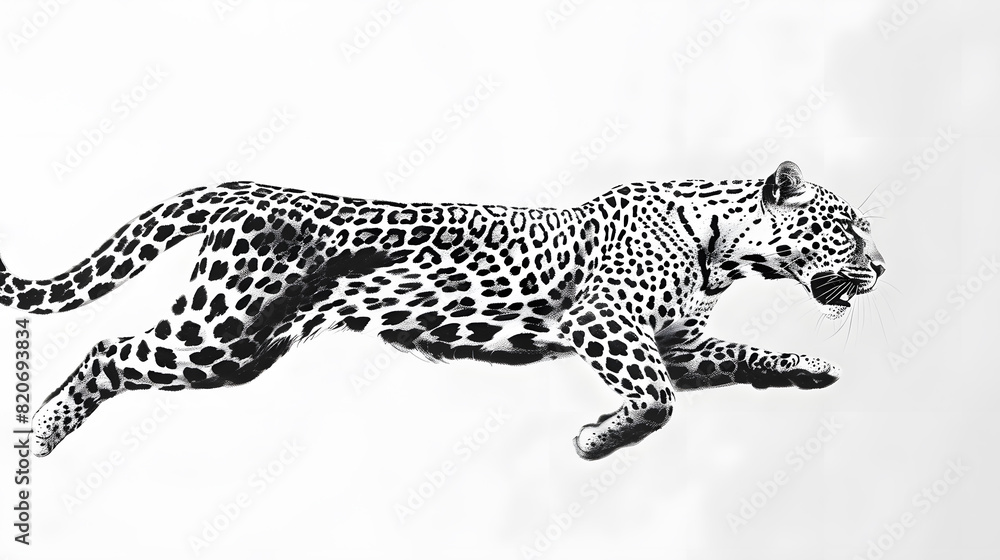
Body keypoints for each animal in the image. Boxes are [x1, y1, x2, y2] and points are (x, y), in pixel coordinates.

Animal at [4, 161, 884, 460]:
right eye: (845, 226)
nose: (881, 269)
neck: (722, 248)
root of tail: (245, 186)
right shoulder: (604, 323)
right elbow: (658, 401)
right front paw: (595, 440)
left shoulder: (680, 342)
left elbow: (745, 358)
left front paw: (809, 367)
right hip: (217, 332)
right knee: (108, 350)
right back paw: (37, 443)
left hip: (241, 345)